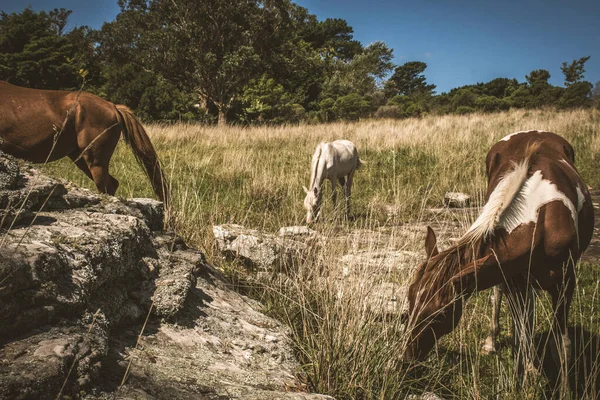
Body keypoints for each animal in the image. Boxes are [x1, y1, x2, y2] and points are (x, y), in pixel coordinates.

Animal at [404, 131, 596, 390]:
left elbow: (561, 345)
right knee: (502, 299)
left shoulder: (565, 282)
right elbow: (522, 331)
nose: (408, 358)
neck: (541, 221)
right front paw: (529, 372)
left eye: (441, 314)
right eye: (410, 301)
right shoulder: (511, 277)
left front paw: (563, 388)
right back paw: (492, 342)